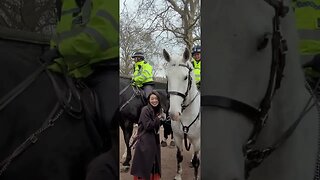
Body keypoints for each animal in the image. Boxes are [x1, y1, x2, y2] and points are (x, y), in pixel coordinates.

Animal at [162, 48, 200, 180]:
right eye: (167, 77)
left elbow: (197, 162)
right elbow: (179, 156)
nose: (174, 114)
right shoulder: (178, 137)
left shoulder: (197, 140)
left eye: (185, 77)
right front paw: (178, 175)